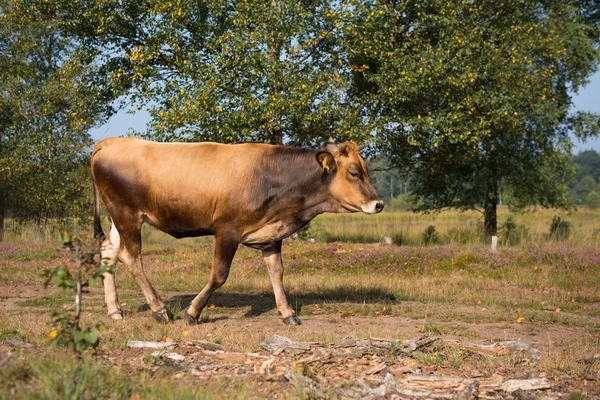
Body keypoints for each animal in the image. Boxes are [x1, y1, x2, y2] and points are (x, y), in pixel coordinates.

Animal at [92, 138, 384, 324]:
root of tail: (111, 141)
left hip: (119, 218)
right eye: (354, 172)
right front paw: (192, 313)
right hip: (126, 214)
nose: (378, 204)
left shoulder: (271, 233)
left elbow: (277, 272)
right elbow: (219, 274)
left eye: (367, 170)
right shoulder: (227, 230)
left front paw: (288, 313)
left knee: (109, 251)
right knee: (131, 257)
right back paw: (159, 309)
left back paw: (115, 310)